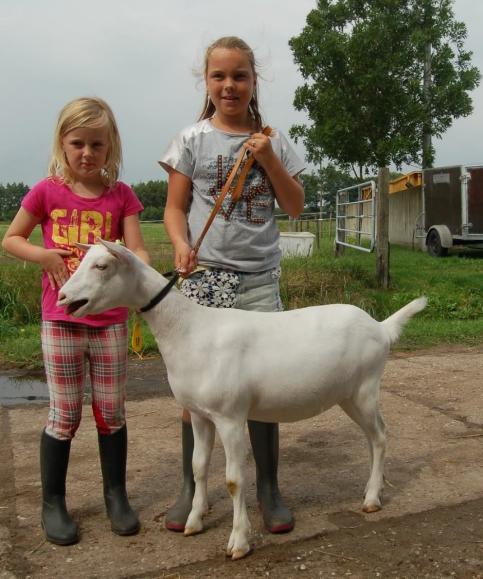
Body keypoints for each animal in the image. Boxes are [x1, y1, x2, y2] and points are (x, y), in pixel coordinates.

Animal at [59, 239, 428, 556]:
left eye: (102, 265)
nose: (63, 297)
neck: (190, 331)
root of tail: (381, 327)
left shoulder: (230, 416)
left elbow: (234, 480)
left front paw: (239, 541)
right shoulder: (200, 414)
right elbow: (198, 467)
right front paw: (193, 522)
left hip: (365, 388)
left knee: (380, 436)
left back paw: (372, 499)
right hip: (348, 395)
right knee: (372, 438)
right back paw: (369, 489)